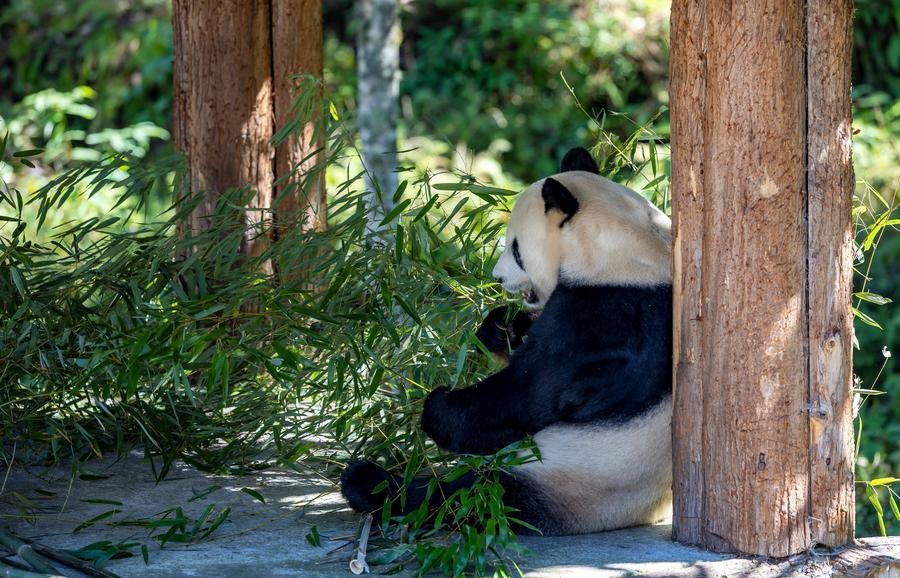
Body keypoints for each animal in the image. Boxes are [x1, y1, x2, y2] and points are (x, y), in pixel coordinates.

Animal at [341, 147, 673, 535]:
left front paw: (438, 403)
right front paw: (498, 327)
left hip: (570, 477)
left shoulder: (604, 319)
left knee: (466, 496)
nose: (497, 278)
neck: (626, 247)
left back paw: (369, 482)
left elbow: (524, 395)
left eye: (516, 250)